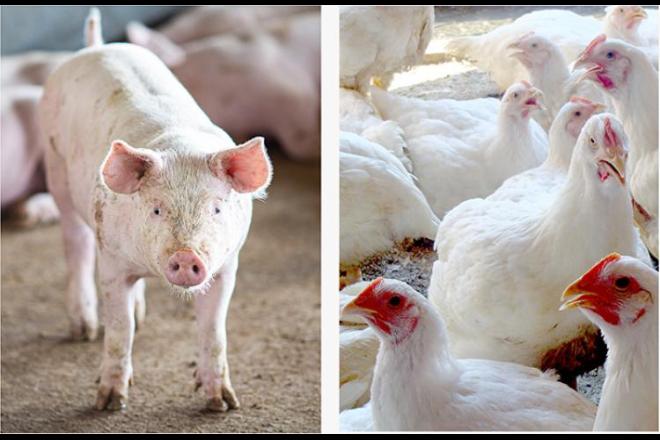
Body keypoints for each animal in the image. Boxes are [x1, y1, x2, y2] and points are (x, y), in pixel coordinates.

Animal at [40, 9, 272, 412]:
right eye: (157, 210)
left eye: (216, 208)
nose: (186, 256)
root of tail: (96, 45)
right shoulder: (112, 260)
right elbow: (119, 331)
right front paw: (109, 403)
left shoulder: (226, 266)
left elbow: (214, 330)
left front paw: (223, 404)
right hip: (56, 171)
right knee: (76, 245)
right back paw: (84, 330)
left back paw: (140, 315)